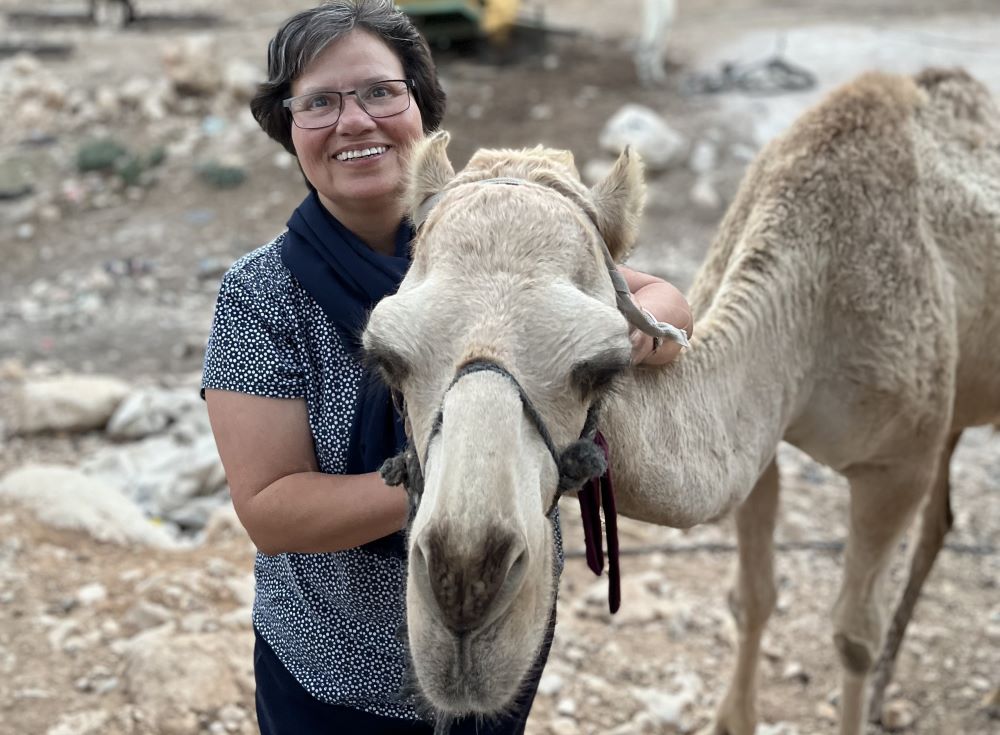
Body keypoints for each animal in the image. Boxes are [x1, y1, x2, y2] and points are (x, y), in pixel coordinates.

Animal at [362, 66, 1000, 732]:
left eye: (600, 367)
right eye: (387, 360)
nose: (463, 583)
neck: (815, 300)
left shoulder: (898, 461)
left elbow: (853, 637)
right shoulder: (764, 439)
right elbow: (752, 598)